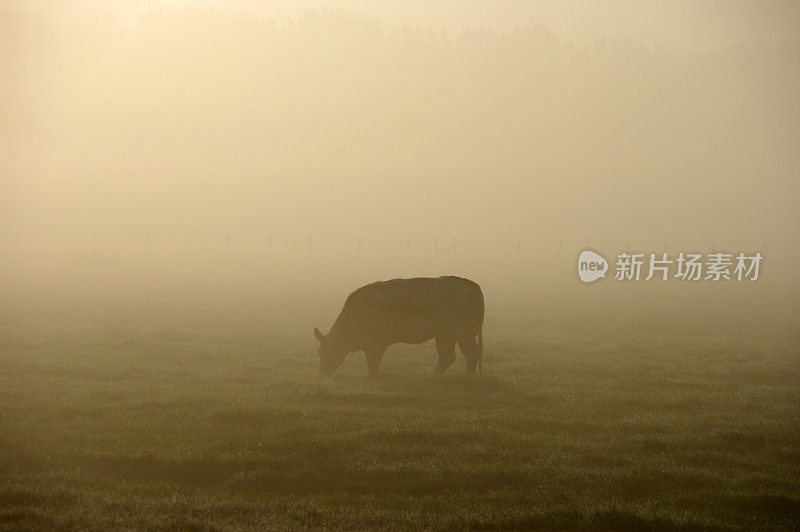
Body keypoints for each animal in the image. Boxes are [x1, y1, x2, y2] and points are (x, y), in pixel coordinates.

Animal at [314, 276, 484, 376]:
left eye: (323, 352)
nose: (322, 372)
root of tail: (467, 282)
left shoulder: (374, 344)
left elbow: (372, 362)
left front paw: (372, 376)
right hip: (465, 334)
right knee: (471, 353)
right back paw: (469, 375)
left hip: (447, 335)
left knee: (449, 356)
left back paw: (434, 374)